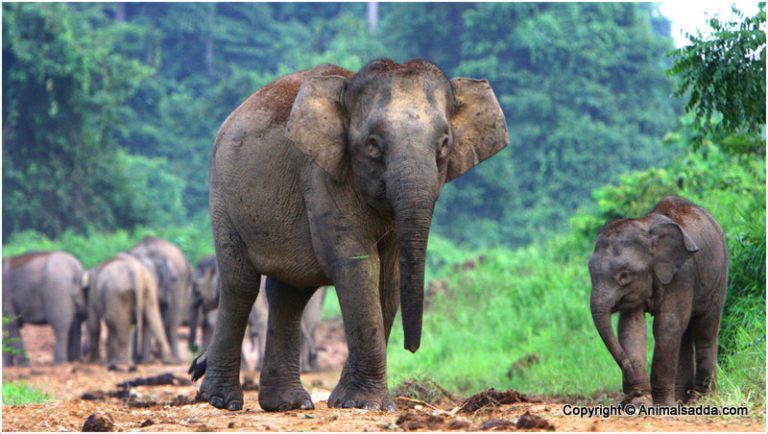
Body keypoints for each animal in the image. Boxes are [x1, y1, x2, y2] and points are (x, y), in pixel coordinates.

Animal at [189, 59, 508, 412]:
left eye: (444, 143)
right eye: (373, 144)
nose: (412, 349)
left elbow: (389, 276)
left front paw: (352, 402)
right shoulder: (323, 176)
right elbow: (355, 264)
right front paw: (365, 404)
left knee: (289, 294)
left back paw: (288, 404)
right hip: (223, 195)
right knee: (241, 284)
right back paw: (222, 400)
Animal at [592, 197, 728, 406]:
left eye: (624, 276)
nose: (634, 392)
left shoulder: (682, 274)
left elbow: (667, 326)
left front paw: (662, 406)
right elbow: (631, 327)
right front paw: (638, 404)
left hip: (719, 276)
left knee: (705, 330)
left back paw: (701, 399)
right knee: (684, 334)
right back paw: (681, 399)